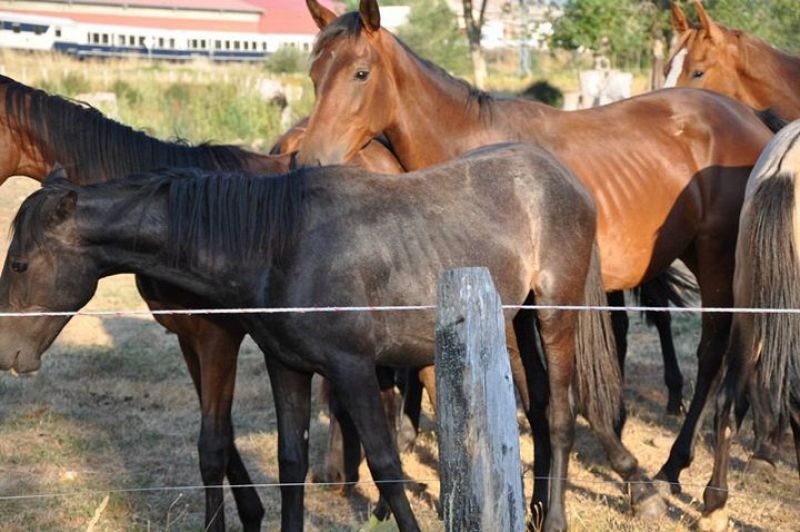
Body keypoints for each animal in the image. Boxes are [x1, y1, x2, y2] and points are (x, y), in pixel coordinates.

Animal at [296, 0, 780, 516]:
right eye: (314, 74)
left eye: (360, 73)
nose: (311, 160)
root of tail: (749, 117)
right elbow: (536, 397)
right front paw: (543, 497)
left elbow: (560, 396)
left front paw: (626, 480)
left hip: (716, 260)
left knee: (713, 353)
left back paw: (679, 469)